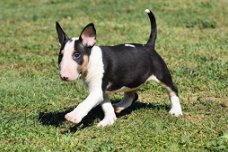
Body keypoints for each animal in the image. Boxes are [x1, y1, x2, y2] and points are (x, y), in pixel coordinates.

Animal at [55, 8, 183, 127]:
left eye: (76, 55)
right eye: (60, 56)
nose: (64, 76)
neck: (91, 60)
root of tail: (148, 46)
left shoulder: (97, 91)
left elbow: (86, 102)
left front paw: (73, 116)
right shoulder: (102, 91)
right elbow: (106, 105)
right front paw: (109, 120)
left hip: (161, 74)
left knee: (173, 89)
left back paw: (176, 111)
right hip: (131, 80)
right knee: (133, 95)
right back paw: (119, 106)